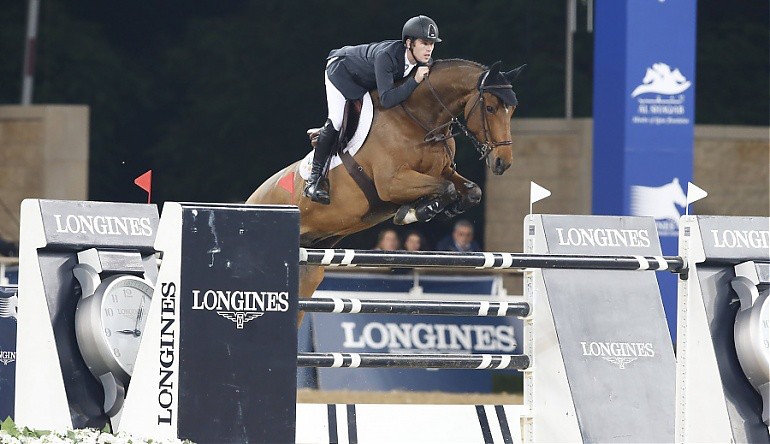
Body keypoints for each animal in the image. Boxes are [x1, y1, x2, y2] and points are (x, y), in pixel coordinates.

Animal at [246, 59, 520, 316]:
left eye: (512, 110)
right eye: (490, 108)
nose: (503, 162)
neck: (419, 120)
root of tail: (249, 203)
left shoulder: (443, 171)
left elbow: (471, 190)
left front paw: (443, 208)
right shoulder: (392, 184)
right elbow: (445, 189)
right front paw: (415, 211)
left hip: (309, 271)